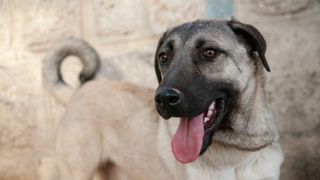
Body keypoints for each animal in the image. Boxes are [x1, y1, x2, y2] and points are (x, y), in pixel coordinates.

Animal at [43, 17, 282, 179]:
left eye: (210, 53)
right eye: (164, 57)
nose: (164, 98)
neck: (239, 148)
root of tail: (79, 91)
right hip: (77, 171)